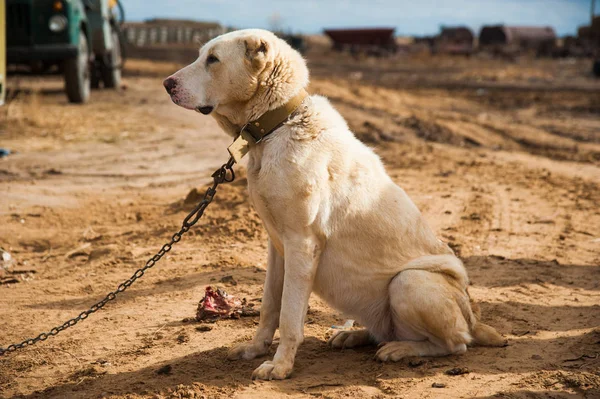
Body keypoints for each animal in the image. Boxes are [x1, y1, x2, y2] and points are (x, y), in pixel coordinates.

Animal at [165, 28, 506, 382]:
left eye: (213, 59)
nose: (166, 84)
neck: (278, 125)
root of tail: (474, 319)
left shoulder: (301, 244)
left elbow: (289, 315)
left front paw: (280, 365)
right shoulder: (276, 246)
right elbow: (270, 305)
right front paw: (256, 348)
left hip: (409, 282)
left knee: (455, 344)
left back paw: (400, 349)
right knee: (390, 332)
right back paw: (353, 335)